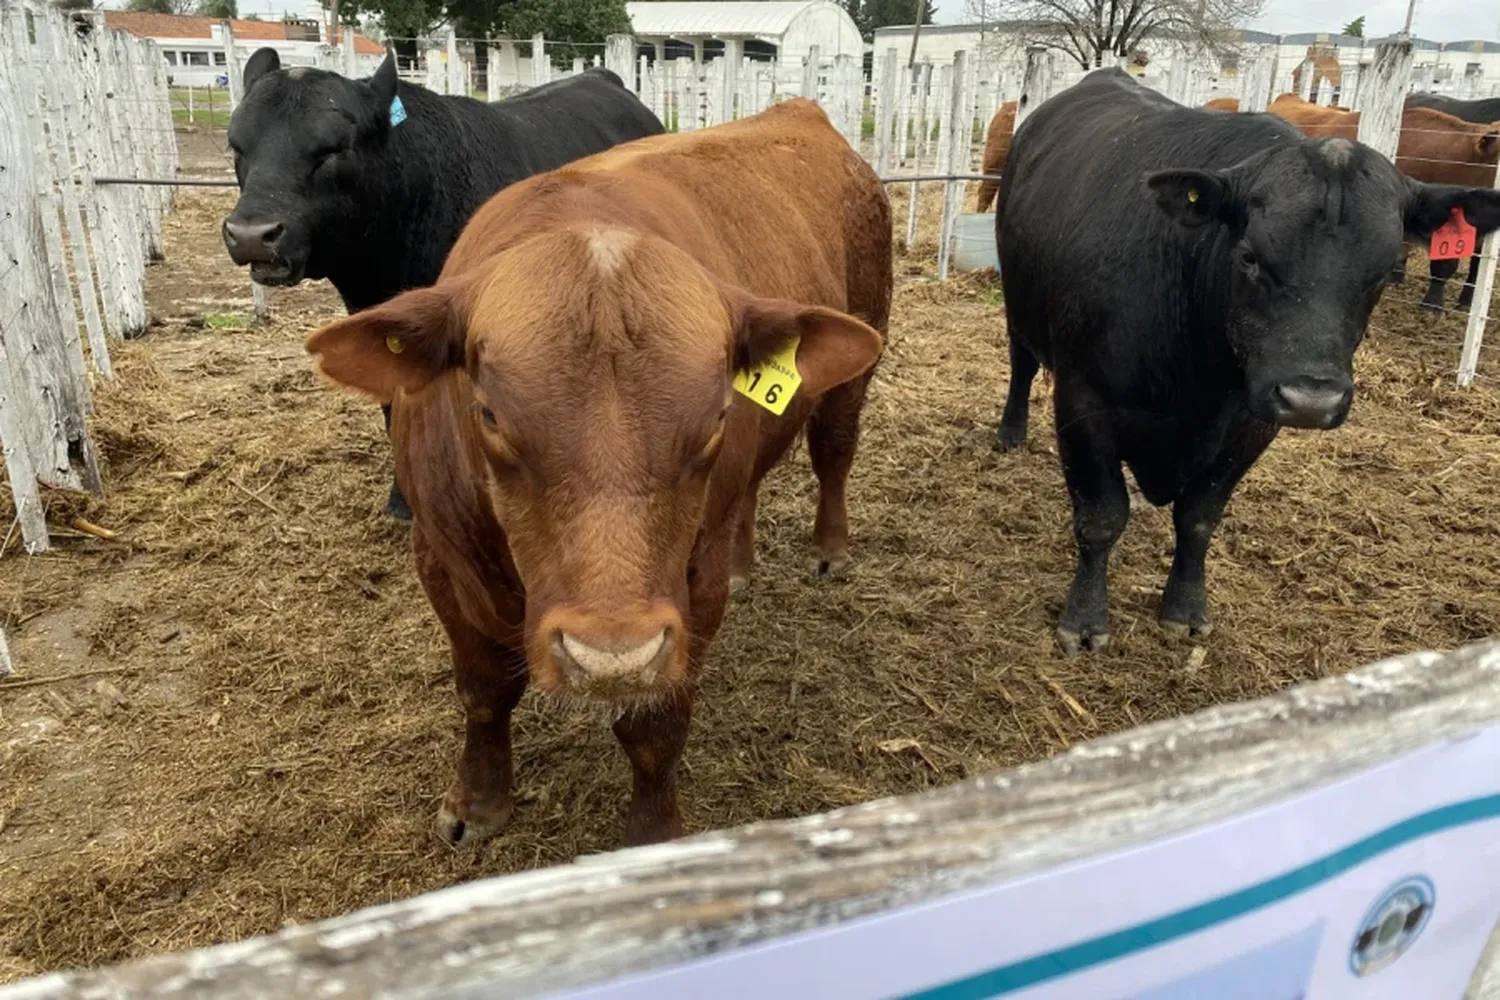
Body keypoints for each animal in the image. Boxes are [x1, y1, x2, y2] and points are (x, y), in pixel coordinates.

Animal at [304, 101, 888, 851]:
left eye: (717, 414)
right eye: (488, 412)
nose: (610, 657)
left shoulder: (687, 595)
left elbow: (655, 725)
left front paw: (650, 834)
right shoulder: (438, 554)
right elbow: (482, 689)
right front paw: (477, 801)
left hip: (861, 348)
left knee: (835, 449)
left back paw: (831, 548)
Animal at [996, 72, 1500, 665]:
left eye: (1386, 271)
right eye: (1249, 257)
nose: (1312, 399)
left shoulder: (1251, 424)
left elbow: (1199, 518)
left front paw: (1186, 610)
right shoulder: (1083, 402)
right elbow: (1101, 516)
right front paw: (1084, 620)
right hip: (1018, 306)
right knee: (1021, 364)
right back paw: (1010, 431)